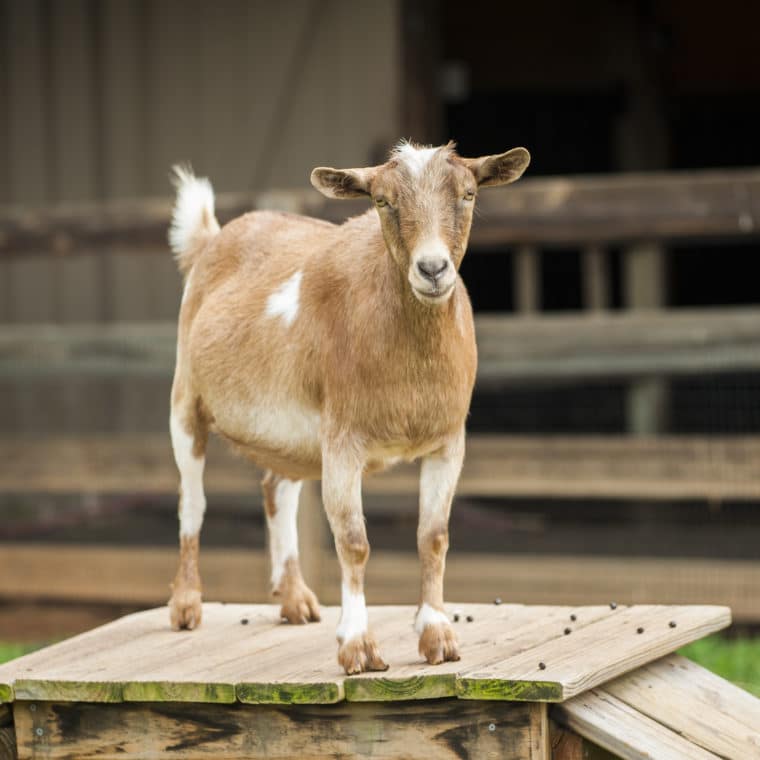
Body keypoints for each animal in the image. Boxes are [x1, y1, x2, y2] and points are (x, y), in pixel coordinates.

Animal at [169, 140, 532, 672]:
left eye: (468, 194)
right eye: (382, 201)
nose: (432, 269)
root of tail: (212, 239)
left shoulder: (448, 442)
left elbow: (433, 536)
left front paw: (437, 636)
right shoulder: (343, 439)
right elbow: (353, 541)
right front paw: (358, 646)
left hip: (293, 433)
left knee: (277, 488)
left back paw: (295, 600)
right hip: (186, 400)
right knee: (192, 501)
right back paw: (185, 605)